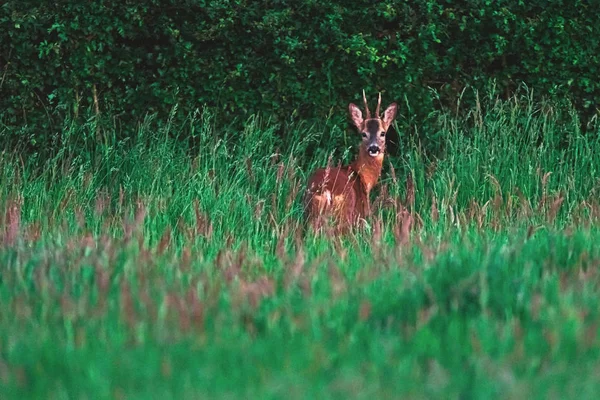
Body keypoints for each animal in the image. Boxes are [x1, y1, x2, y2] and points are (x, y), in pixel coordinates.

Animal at [304, 91, 398, 231]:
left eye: (383, 133)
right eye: (363, 134)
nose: (374, 148)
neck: (363, 177)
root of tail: (324, 190)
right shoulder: (363, 213)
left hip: (310, 213)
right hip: (346, 213)